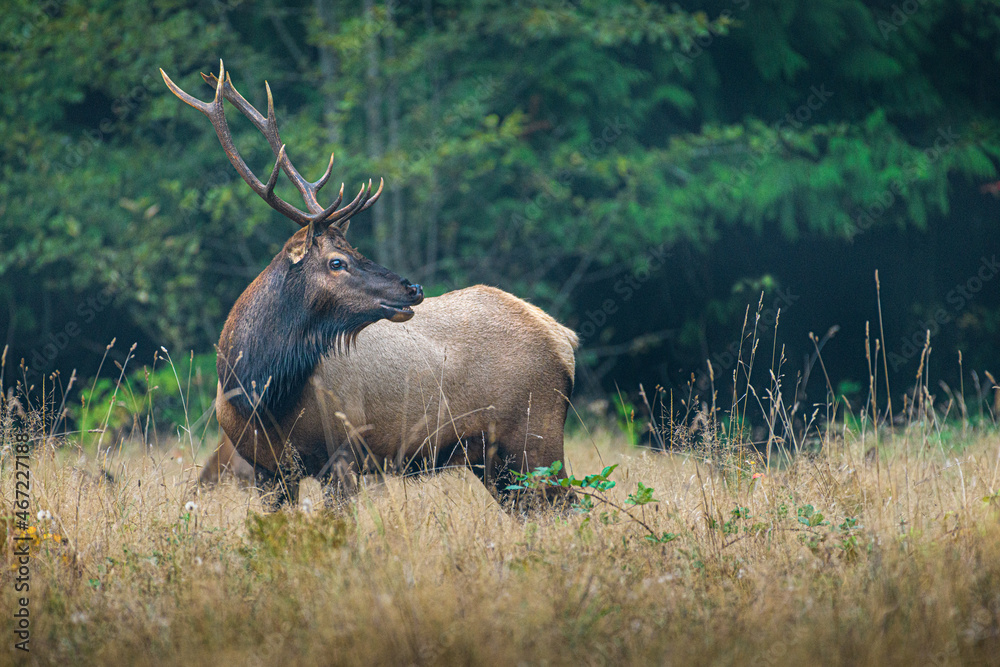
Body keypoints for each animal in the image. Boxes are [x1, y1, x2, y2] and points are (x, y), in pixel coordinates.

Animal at [159, 62, 576, 506]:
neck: (255, 391)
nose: (413, 289)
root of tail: (563, 338)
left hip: (535, 439)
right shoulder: (266, 470)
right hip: (493, 460)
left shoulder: (343, 452)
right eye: (337, 261)